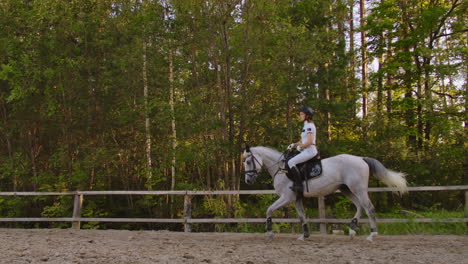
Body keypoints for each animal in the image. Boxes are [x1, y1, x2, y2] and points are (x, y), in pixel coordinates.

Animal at [243, 146, 408, 241]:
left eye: (248, 161)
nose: (248, 180)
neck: (282, 169)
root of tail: (361, 159)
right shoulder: (296, 198)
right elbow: (302, 216)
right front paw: (305, 235)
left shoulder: (286, 197)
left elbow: (269, 210)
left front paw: (269, 233)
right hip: (346, 189)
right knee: (359, 206)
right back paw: (352, 229)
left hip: (358, 189)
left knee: (369, 208)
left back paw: (372, 234)